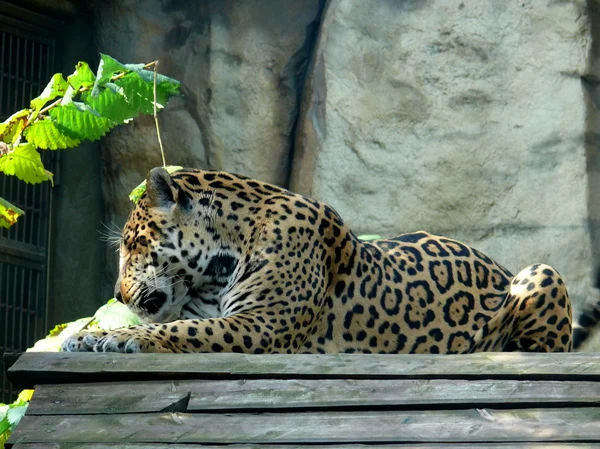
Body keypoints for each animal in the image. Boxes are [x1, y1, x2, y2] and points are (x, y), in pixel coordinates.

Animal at [61, 166, 572, 352]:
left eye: (132, 245)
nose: (116, 294)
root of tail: (500, 265)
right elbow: (178, 322)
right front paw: (92, 335)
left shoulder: (261, 324)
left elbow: (183, 329)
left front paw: (108, 338)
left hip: (541, 272)